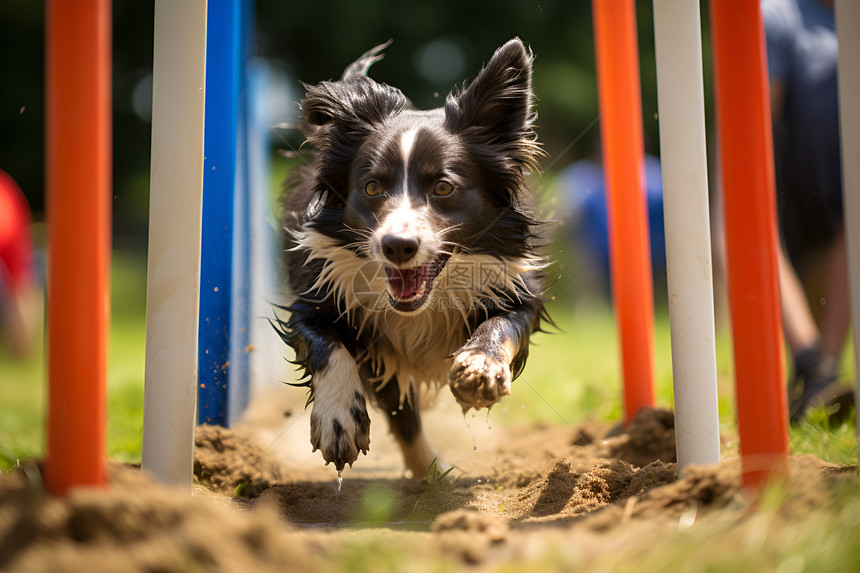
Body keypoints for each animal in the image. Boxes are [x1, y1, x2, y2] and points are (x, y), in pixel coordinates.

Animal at [276, 35, 552, 474]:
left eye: (443, 187)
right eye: (371, 187)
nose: (397, 245)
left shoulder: (518, 287)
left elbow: (503, 324)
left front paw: (481, 366)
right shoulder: (315, 293)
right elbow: (327, 345)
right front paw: (339, 418)